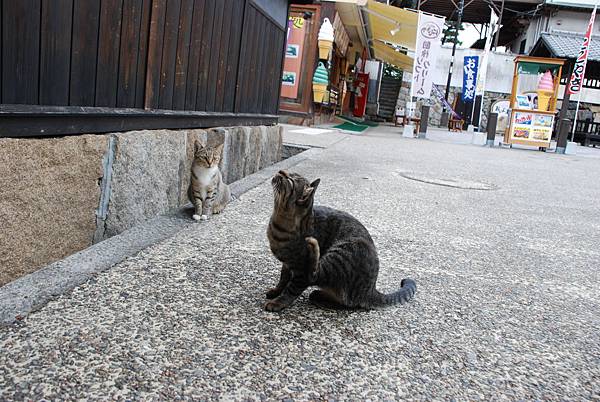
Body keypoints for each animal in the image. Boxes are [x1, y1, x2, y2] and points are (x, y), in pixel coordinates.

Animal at [268, 171, 418, 312]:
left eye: (290, 179)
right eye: (289, 173)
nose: (280, 171)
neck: (279, 222)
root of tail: (371, 290)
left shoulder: (301, 272)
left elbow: (290, 290)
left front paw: (278, 302)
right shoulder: (287, 264)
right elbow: (283, 279)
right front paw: (276, 291)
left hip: (340, 254)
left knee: (331, 289)